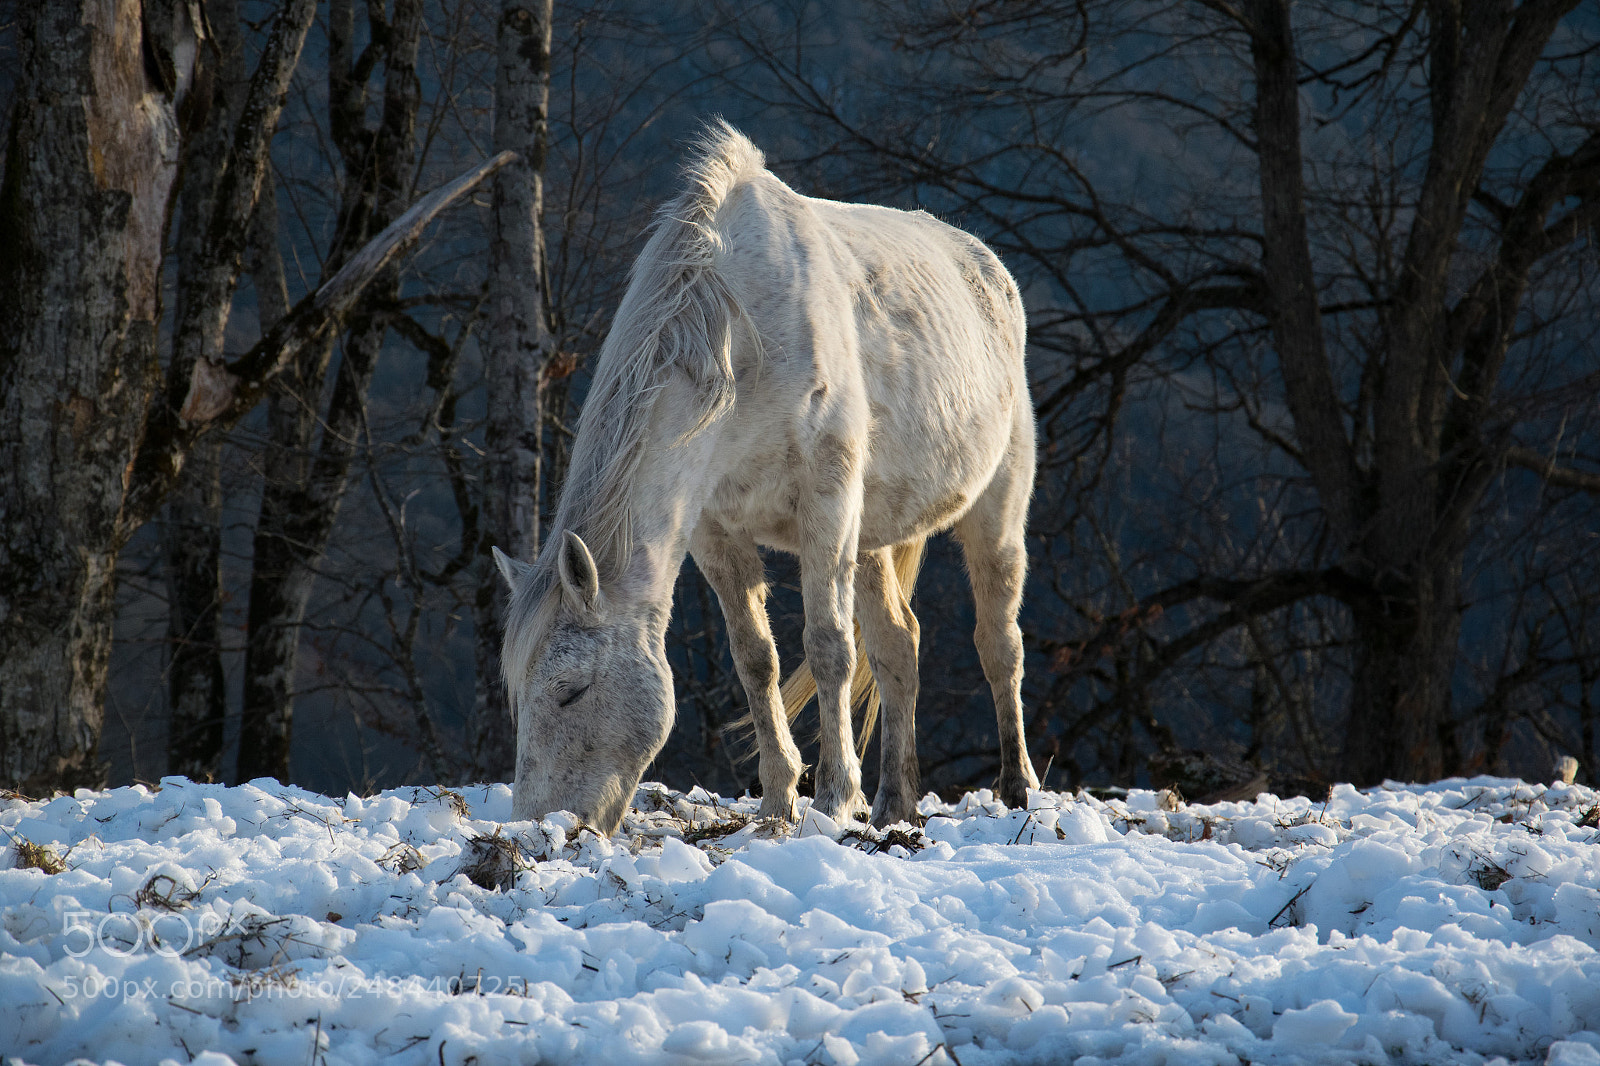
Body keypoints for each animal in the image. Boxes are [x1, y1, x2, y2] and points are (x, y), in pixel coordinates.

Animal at [493, 122, 1040, 834]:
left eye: (571, 691)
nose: (541, 826)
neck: (741, 337)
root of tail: (991, 272)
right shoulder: (715, 531)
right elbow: (758, 659)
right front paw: (780, 800)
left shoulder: (826, 503)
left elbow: (829, 646)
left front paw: (834, 798)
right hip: (872, 535)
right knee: (899, 645)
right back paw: (894, 803)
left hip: (995, 512)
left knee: (999, 642)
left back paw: (1016, 788)